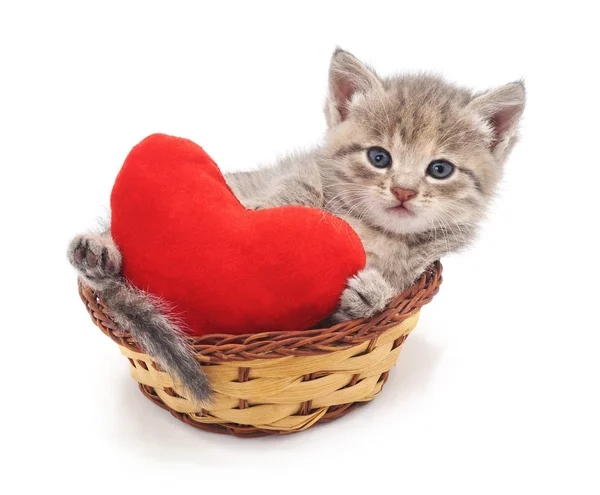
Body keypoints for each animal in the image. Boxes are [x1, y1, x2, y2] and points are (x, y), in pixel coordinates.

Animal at [67, 47, 524, 404]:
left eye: (440, 169)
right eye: (379, 157)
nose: (404, 191)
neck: (372, 230)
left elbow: (377, 297)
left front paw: (370, 293)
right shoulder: (298, 174)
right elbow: (287, 194)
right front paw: (259, 215)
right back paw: (98, 252)